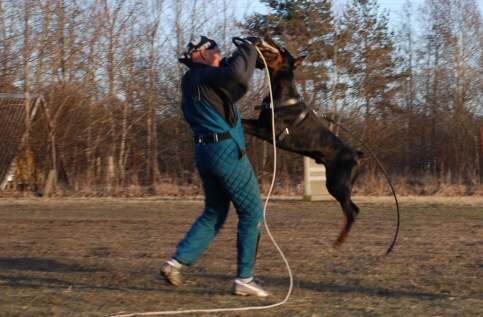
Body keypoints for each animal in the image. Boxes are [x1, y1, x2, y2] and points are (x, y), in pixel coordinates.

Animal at [242, 37, 364, 247]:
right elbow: (243, 121)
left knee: (351, 211)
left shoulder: (268, 132)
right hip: (333, 184)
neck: (280, 93)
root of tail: (355, 156)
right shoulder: (260, 123)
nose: (266, 37)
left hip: (338, 183)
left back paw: (339, 241)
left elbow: (243, 125)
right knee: (351, 209)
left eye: (282, 48)